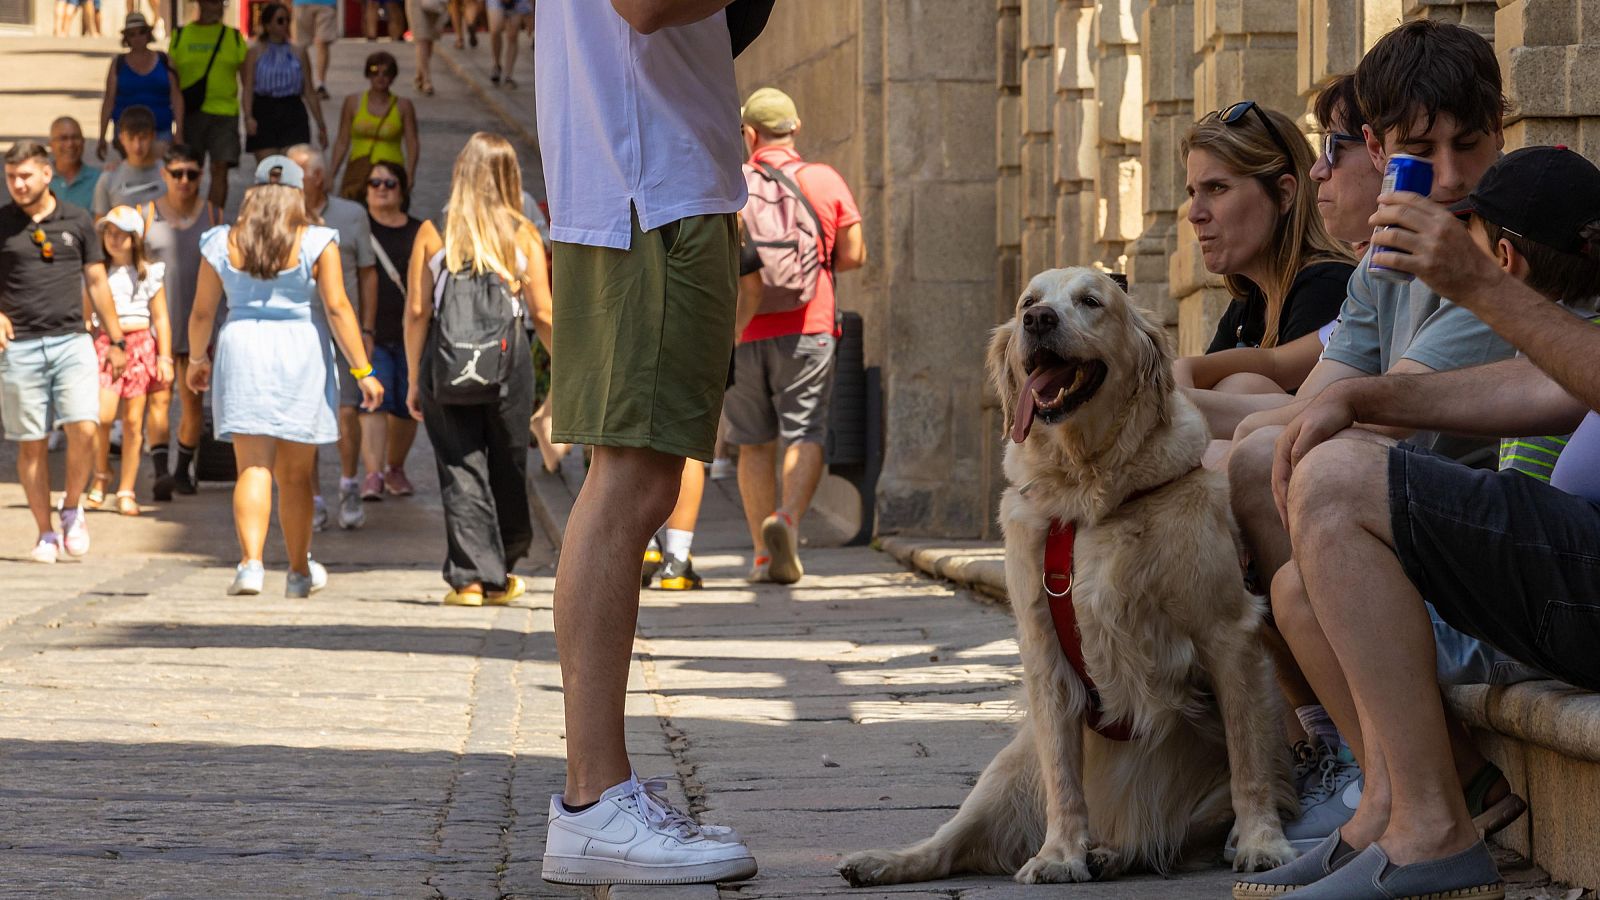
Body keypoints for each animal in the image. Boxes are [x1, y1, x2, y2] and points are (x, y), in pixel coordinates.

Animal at [838, 265, 1299, 883]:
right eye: (1027, 302)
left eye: (1091, 301)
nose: (1038, 320)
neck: (1087, 492)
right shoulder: (1044, 648)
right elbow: (1063, 776)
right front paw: (1059, 854)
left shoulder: (1228, 631)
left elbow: (1248, 756)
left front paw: (1262, 843)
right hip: (1007, 769)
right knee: (953, 841)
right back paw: (885, 861)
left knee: (1164, 839)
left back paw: (1117, 851)